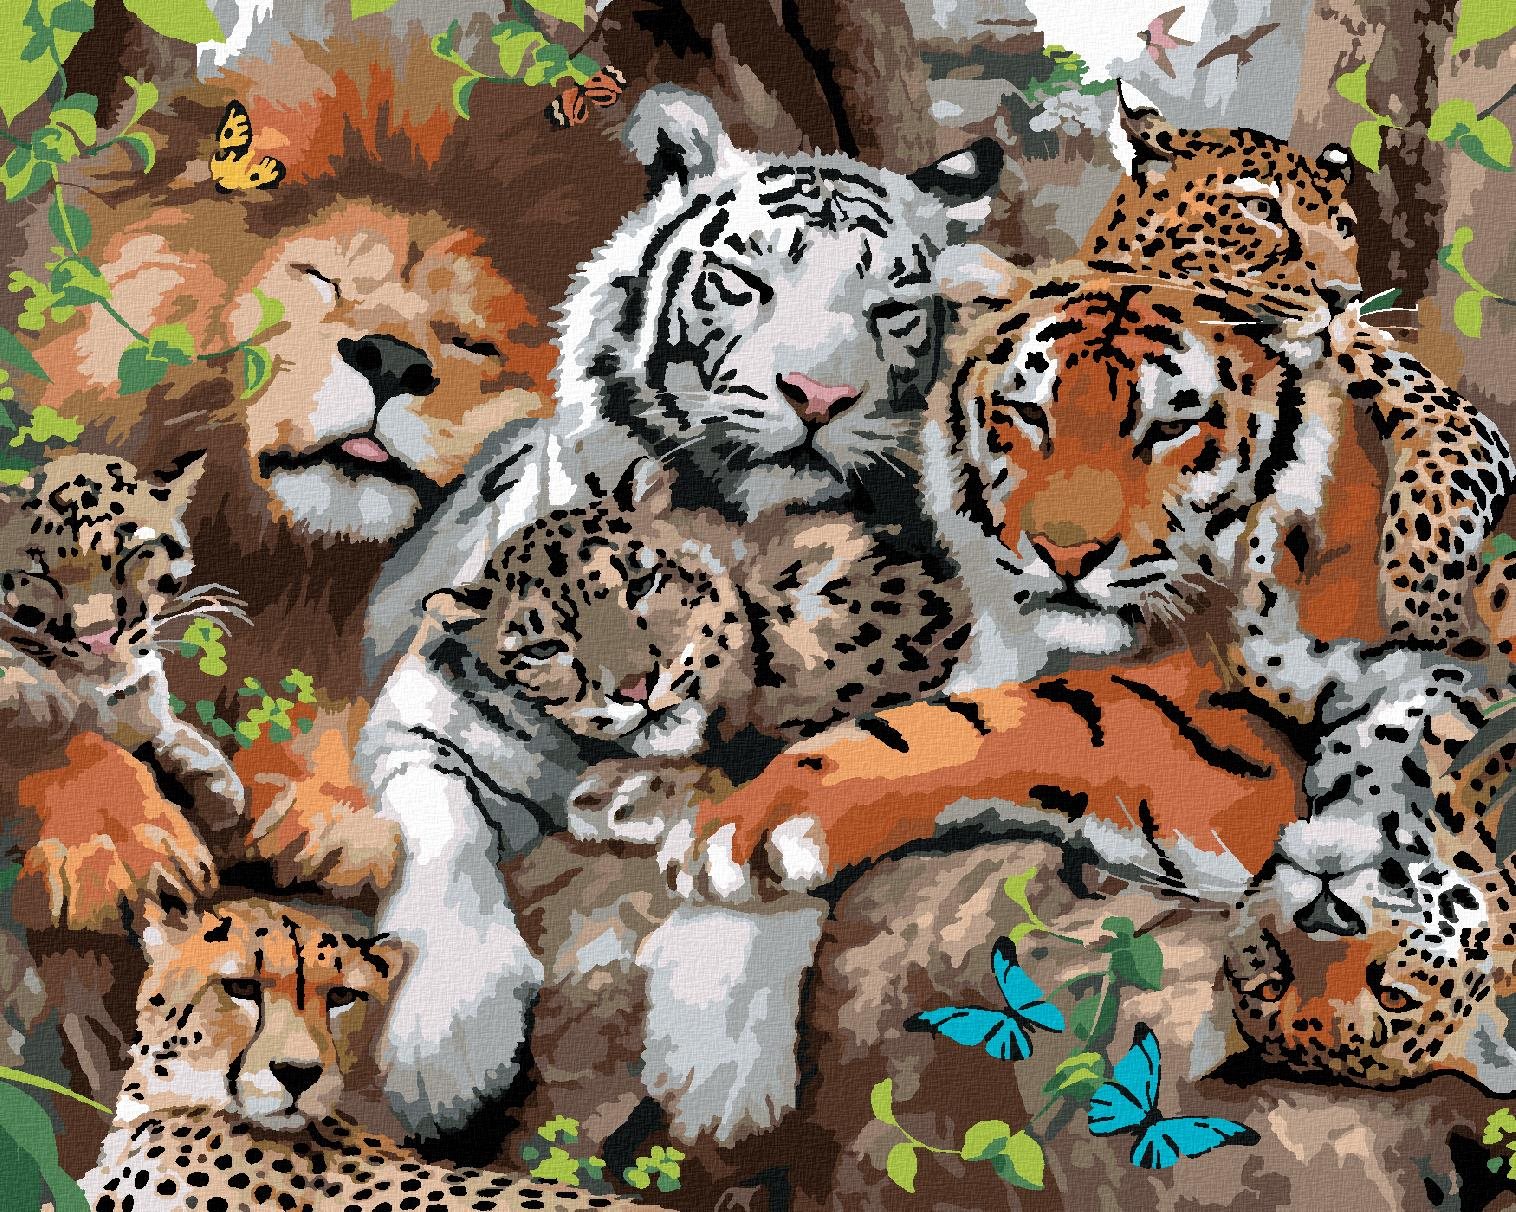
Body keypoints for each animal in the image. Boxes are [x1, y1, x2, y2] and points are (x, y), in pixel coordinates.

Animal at [356, 84, 1005, 1137]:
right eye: (747, 282)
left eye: (890, 309)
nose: (820, 395)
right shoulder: (430, 712)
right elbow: (441, 846)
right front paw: (445, 1047)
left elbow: (786, 816)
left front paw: (717, 1064)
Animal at [652, 266, 1516, 1126]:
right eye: (1031, 413)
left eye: (1171, 426)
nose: (1065, 555)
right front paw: (714, 1007)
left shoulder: (1236, 768)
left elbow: (1015, 720)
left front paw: (739, 834)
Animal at [1085, 86, 1514, 655]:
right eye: (1260, 208)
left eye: (1345, 228)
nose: (1344, 297)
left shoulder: (1451, 414)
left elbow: (1440, 491)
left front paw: (1424, 615)